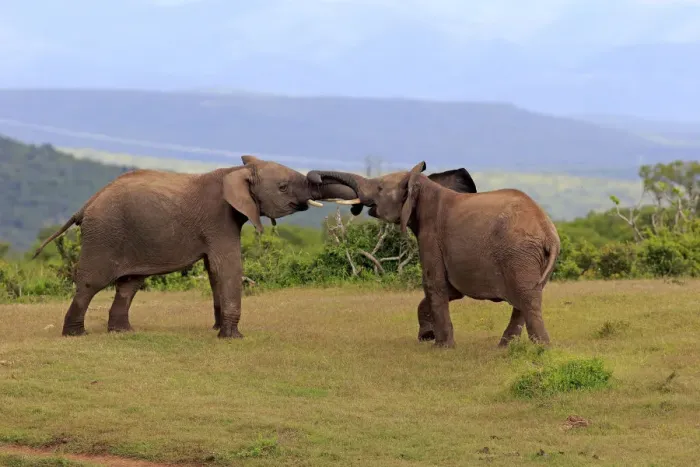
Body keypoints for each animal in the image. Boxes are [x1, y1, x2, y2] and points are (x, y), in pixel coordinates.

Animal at [32, 155, 359, 338]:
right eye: (282, 187)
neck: (235, 171)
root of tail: (85, 206)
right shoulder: (219, 219)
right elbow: (227, 266)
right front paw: (233, 337)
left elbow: (214, 271)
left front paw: (217, 329)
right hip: (105, 235)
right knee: (91, 283)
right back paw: (76, 335)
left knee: (129, 284)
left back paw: (123, 332)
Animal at [307, 162, 560, 348]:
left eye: (379, 188)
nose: (316, 180)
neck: (422, 184)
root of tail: (547, 230)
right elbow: (450, 290)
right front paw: (427, 337)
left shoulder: (431, 235)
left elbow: (433, 284)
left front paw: (441, 346)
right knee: (525, 300)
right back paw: (505, 348)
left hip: (519, 254)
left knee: (527, 301)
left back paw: (541, 350)